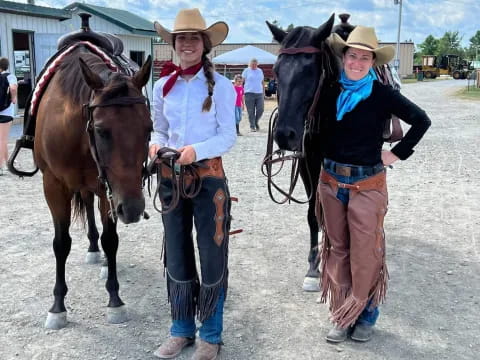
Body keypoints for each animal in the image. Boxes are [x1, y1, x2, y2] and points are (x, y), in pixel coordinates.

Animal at [33, 43, 152, 328]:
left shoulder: (107, 190)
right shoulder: (53, 186)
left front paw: (115, 300)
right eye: (101, 130)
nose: (133, 209)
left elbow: (111, 240)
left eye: (149, 129)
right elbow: (61, 243)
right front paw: (57, 306)